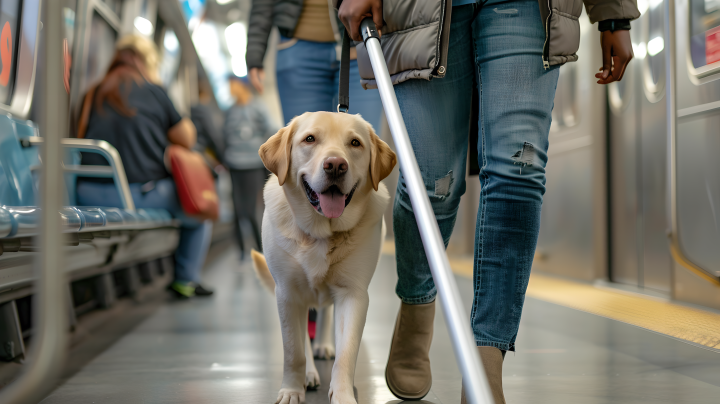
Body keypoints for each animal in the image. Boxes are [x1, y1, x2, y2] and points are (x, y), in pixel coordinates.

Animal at [250, 111, 396, 404]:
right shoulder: (287, 293)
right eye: (309, 139)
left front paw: (343, 395)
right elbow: (293, 350)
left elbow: (347, 354)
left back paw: (324, 345)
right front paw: (291, 390)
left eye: (355, 143)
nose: (336, 165)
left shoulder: (353, 294)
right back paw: (308, 372)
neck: (320, 233)